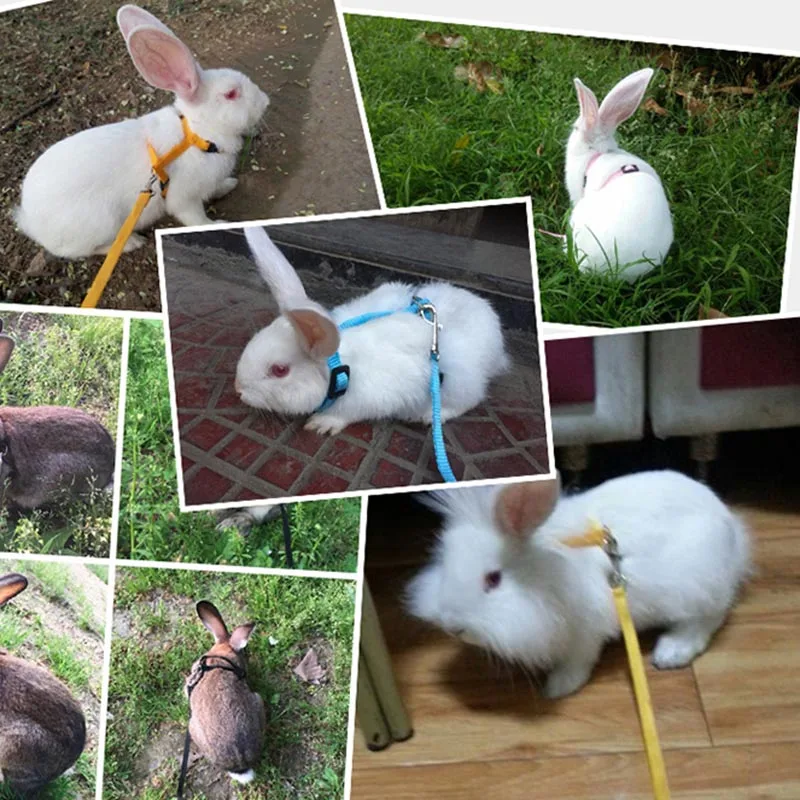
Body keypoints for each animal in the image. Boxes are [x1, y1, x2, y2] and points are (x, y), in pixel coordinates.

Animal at [13, 4, 270, 260]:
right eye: (231, 94)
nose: (265, 101)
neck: (196, 134)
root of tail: (30, 221)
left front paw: (229, 184)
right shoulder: (184, 198)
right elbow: (195, 218)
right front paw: (216, 223)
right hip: (100, 224)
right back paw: (132, 243)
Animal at [234, 227, 510, 435]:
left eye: (280, 370)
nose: (238, 390)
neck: (342, 368)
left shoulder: (369, 400)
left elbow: (346, 414)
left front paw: (321, 424)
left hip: (460, 382)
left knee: (469, 400)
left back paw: (426, 416)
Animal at [407, 470, 751, 699]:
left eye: (493, 579)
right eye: (444, 562)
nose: (453, 626)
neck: (544, 573)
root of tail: (731, 529)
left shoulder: (585, 632)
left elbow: (578, 661)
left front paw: (558, 688)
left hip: (694, 586)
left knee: (708, 619)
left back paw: (671, 652)